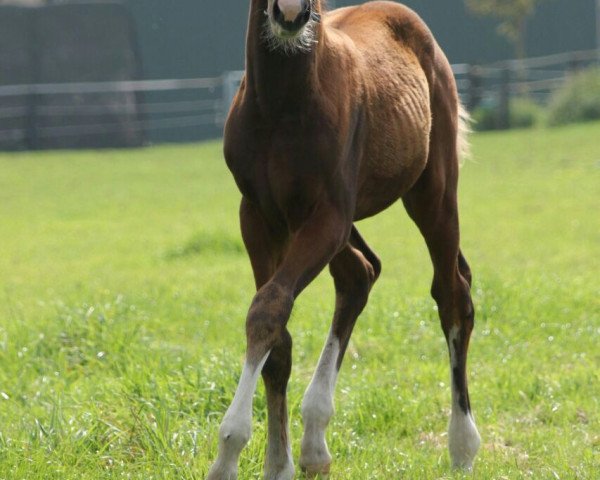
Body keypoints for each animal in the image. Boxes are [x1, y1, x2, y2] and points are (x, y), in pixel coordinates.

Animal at [209, 1, 480, 478]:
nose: (291, 14)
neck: (281, 104)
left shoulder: (328, 216)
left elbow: (268, 308)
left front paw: (228, 453)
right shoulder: (258, 215)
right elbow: (276, 332)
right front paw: (277, 463)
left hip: (432, 191)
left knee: (451, 295)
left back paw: (462, 444)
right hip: (327, 221)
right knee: (360, 273)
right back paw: (315, 442)